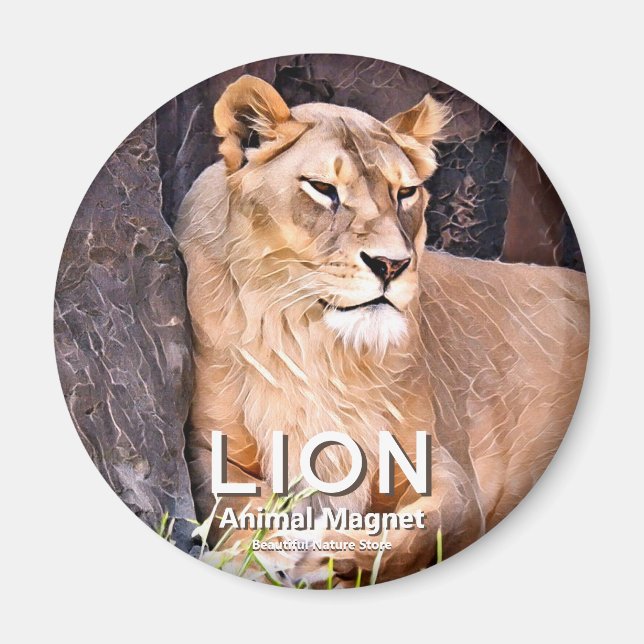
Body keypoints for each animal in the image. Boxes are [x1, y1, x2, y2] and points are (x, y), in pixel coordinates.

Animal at [174, 75, 589, 586]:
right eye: (322, 188)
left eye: (405, 192)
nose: (391, 264)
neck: (316, 342)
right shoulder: (211, 450)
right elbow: (246, 506)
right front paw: (257, 557)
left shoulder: (441, 468)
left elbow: (415, 531)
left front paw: (314, 558)